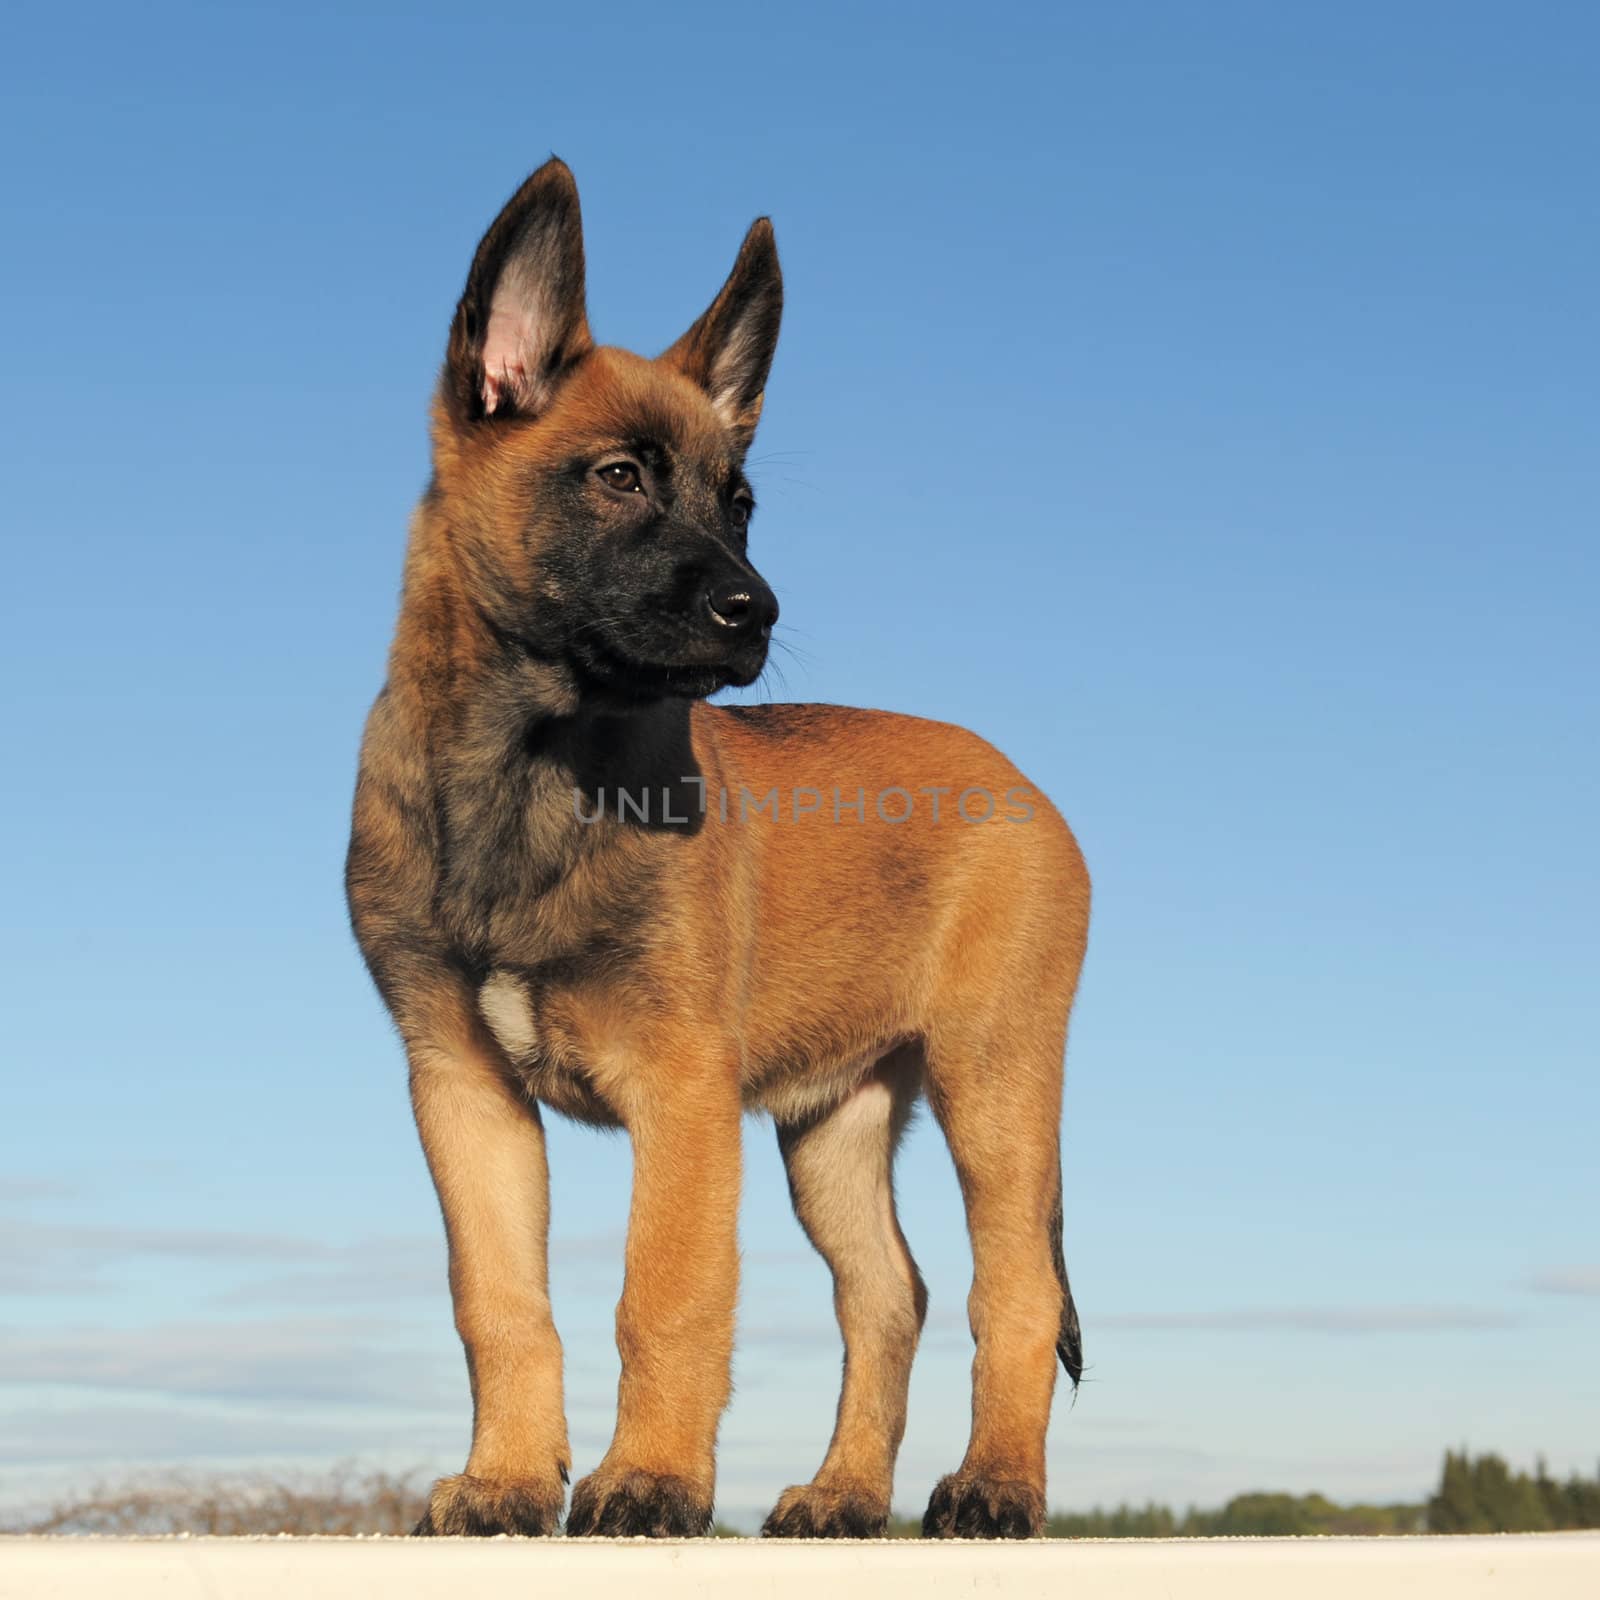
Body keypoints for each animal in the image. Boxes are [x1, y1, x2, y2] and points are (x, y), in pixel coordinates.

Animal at [348, 159, 1088, 1536]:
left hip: (995, 1085)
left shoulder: (679, 1087)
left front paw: (648, 1478)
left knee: (1007, 1289)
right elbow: (500, 1303)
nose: (757, 609)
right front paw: (508, 1477)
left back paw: (994, 1487)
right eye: (619, 478)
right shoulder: (461, 1087)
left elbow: (666, 1291)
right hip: (834, 1123)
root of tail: (1017, 778)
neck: (532, 764)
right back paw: (845, 1494)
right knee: (888, 1293)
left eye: (737, 502)